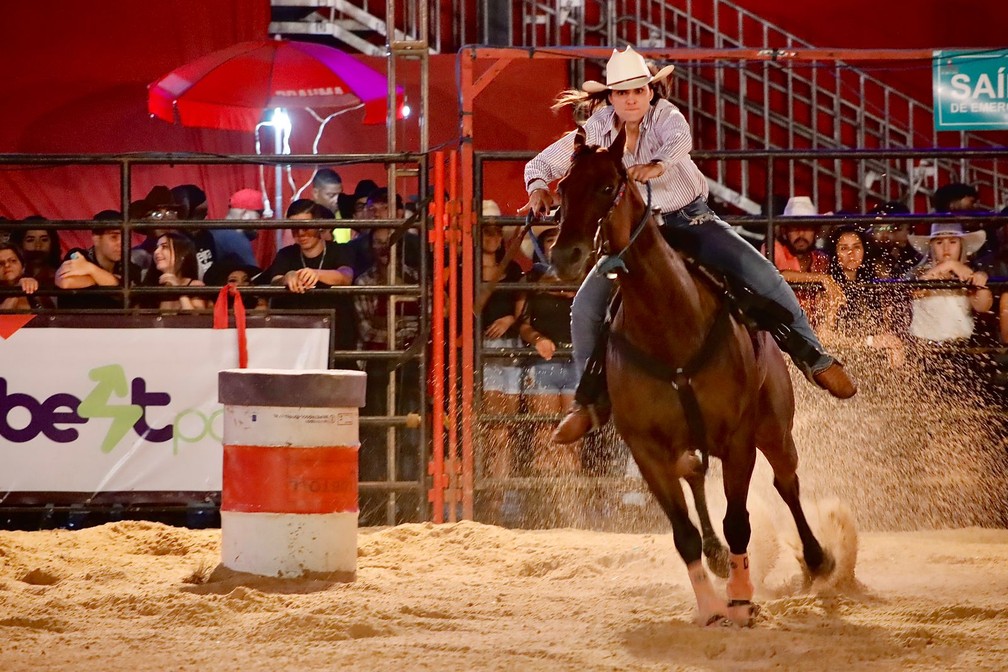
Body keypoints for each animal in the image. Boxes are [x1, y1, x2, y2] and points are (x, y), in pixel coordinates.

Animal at [552, 128, 834, 628]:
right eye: (563, 189)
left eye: (607, 186)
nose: (566, 256)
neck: (670, 321)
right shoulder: (645, 449)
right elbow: (683, 533)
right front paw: (709, 605)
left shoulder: (739, 439)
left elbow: (738, 521)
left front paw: (740, 601)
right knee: (697, 477)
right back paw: (718, 557)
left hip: (774, 427)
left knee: (787, 482)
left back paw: (817, 560)